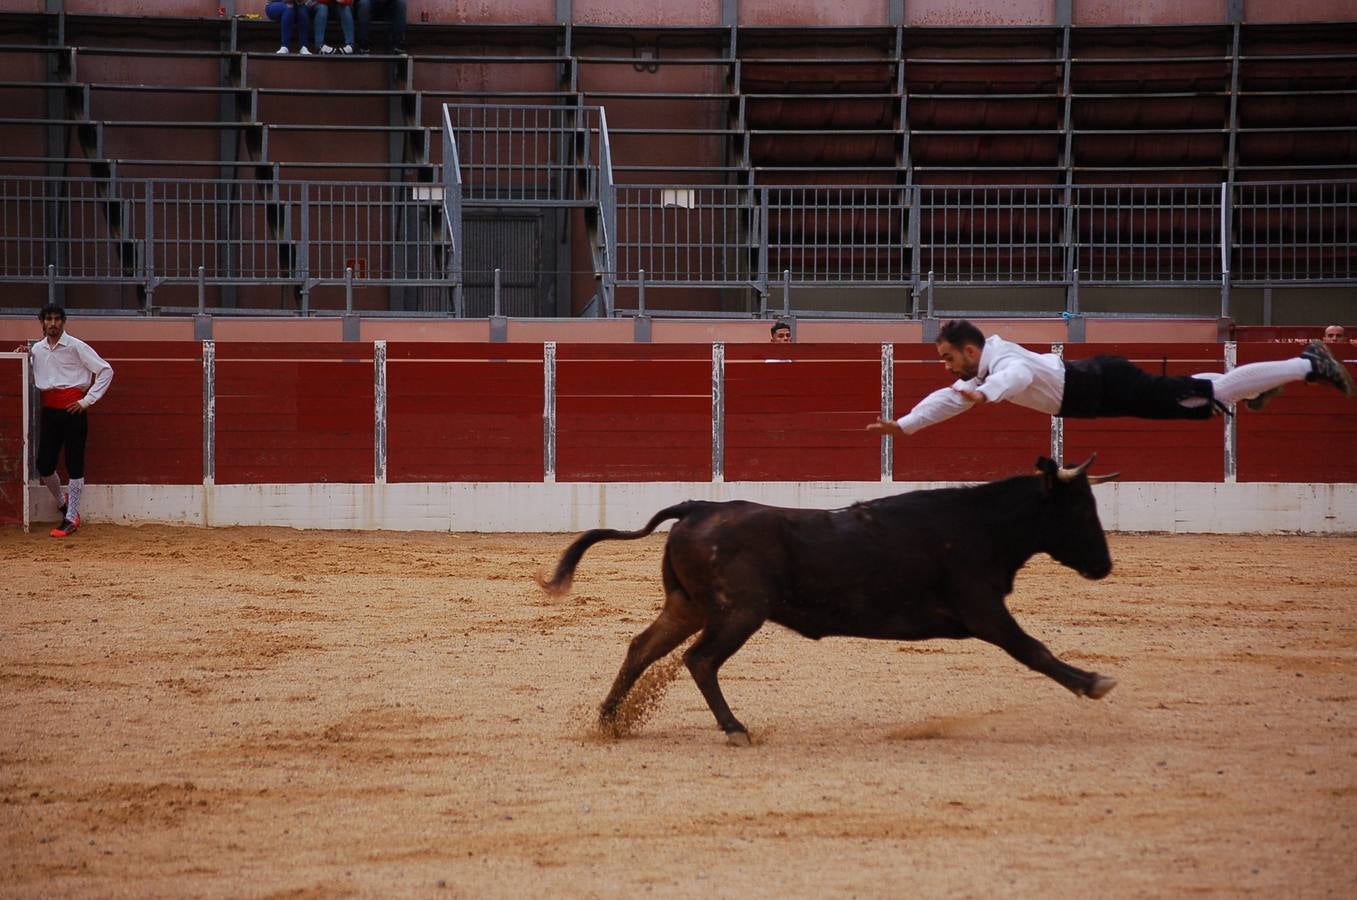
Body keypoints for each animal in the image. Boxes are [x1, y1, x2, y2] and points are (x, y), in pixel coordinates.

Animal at [540, 458, 1123, 743]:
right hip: (739, 612)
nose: (1104, 566)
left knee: (643, 648)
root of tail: (699, 506)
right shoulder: (984, 610)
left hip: (688, 606)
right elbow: (1034, 650)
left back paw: (608, 722)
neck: (981, 525)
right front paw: (1094, 682)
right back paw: (735, 729)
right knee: (700, 659)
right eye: (1078, 509)